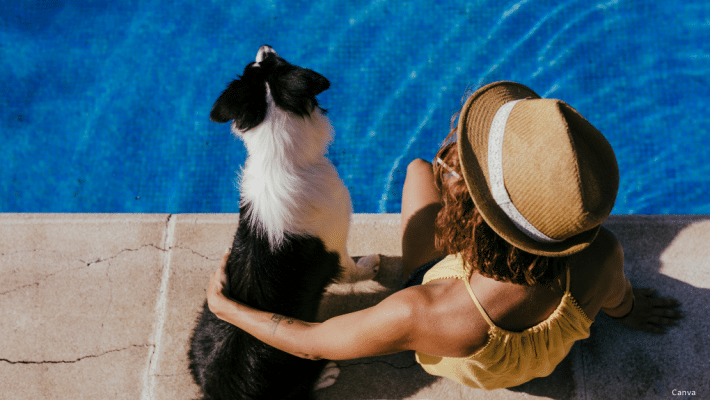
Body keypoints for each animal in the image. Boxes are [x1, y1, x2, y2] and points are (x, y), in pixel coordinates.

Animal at [188, 45, 378, 398]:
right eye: (279, 62)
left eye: (259, 64)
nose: (265, 46)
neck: (278, 158)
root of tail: (221, 388)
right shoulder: (336, 243)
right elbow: (351, 269)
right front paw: (369, 265)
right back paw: (326, 374)